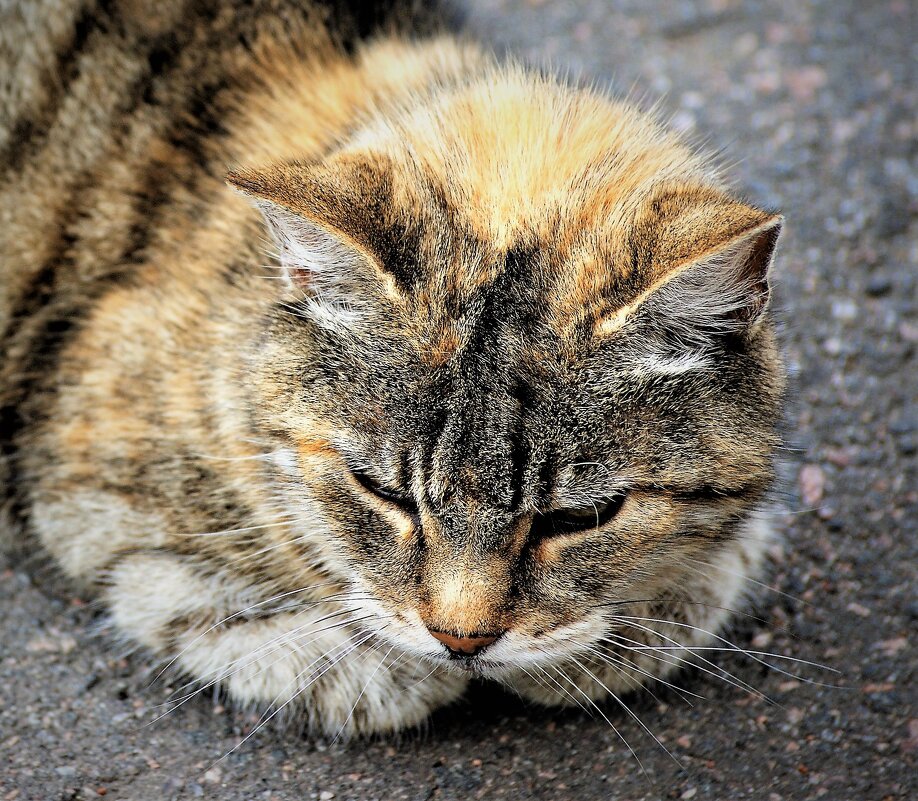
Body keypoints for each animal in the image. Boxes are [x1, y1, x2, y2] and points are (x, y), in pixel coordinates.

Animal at [0, 0, 784, 736]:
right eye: (383, 491)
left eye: (581, 516)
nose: (462, 640)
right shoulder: (94, 481)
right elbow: (226, 604)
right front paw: (379, 662)